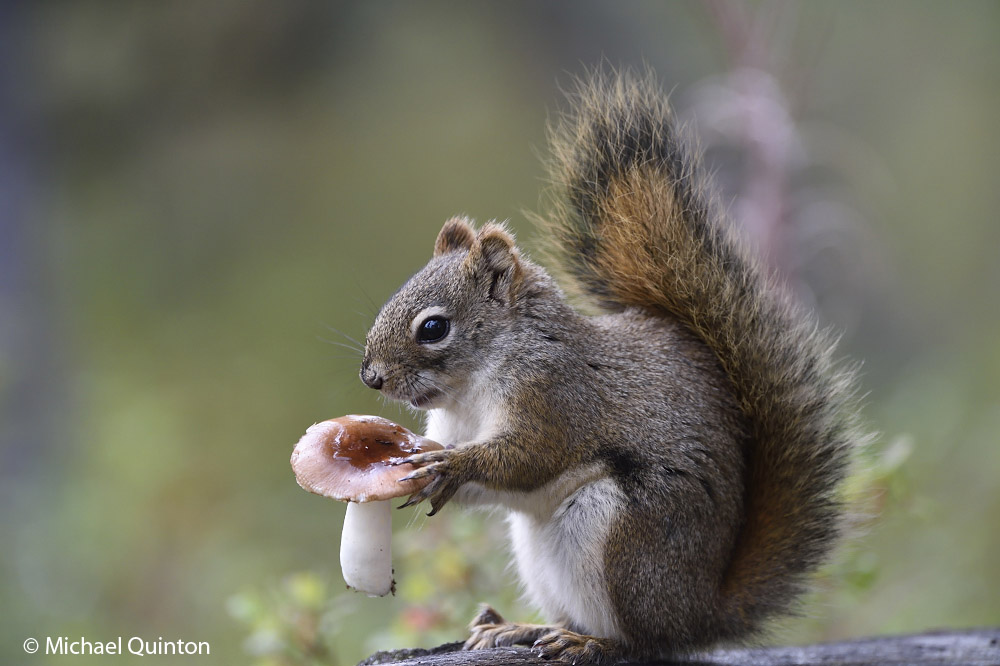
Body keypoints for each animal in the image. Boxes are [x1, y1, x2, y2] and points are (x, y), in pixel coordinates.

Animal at [359, 71, 865, 664]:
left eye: (433, 327)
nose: (371, 375)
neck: (470, 386)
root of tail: (700, 613)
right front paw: (419, 469)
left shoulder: (557, 393)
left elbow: (531, 456)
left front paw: (453, 465)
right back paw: (522, 628)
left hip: (621, 536)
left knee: (642, 643)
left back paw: (589, 641)